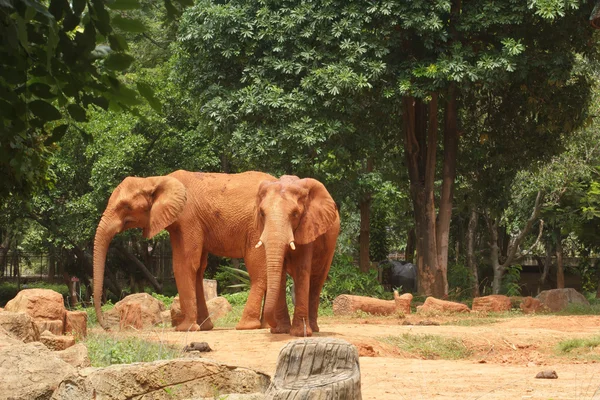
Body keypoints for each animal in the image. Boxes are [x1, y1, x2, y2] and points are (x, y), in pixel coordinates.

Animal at [93, 169, 276, 332]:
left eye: (125, 206)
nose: (107, 328)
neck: (156, 180)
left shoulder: (187, 218)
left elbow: (184, 265)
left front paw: (184, 329)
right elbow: (198, 268)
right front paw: (204, 328)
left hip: (257, 227)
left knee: (257, 270)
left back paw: (247, 326)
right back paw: (266, 326)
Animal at [253, 175, 340, 334]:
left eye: (295, 214)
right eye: (262, 213)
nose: (271, 326)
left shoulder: (308, 225)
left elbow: (302, 270)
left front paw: (300, 334)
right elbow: (280, 273)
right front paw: (281, 331)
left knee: (317, 281)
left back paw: (314, 329)